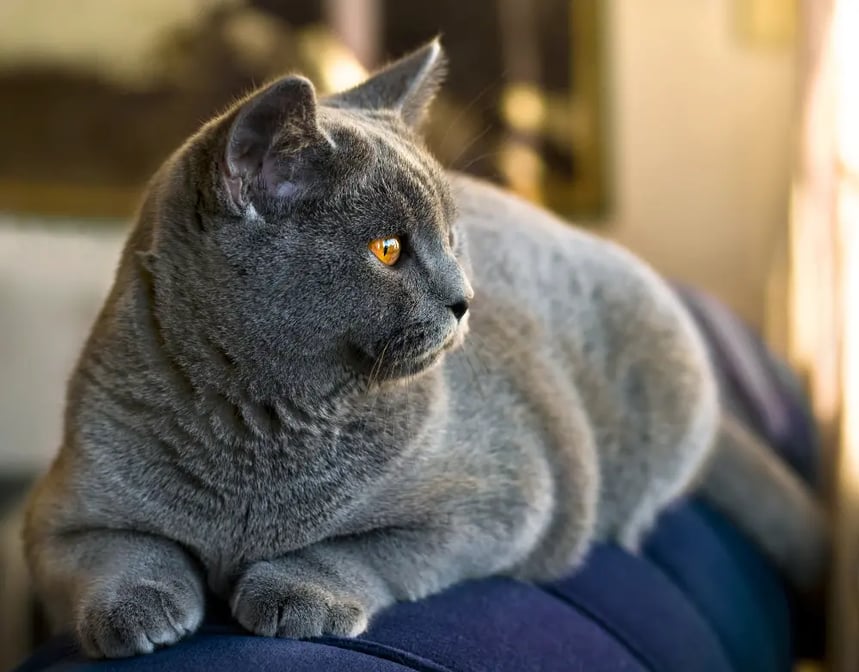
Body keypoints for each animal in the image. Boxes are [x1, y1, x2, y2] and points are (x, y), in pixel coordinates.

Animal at [25, 39, 828, 660]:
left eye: (452, 238)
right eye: (387, 249)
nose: (464, 297)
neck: (258, 428)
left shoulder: (499, 502)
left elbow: (361, 547)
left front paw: (297, 593)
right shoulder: (61, 510)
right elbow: (113, 549)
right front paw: (139, 613)